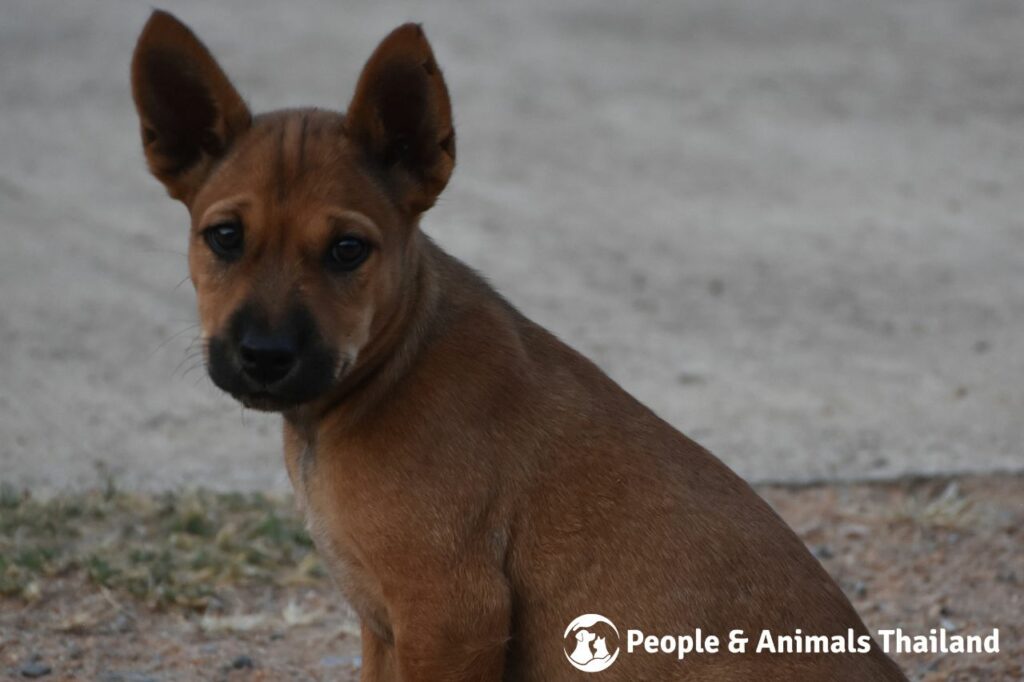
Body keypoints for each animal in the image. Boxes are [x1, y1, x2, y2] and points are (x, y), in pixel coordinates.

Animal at [132, 10, 909, 679]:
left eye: (348, 250)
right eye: (224, 237)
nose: (264, 356)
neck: (390, 369)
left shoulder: (454, 613)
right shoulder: (386, 625)